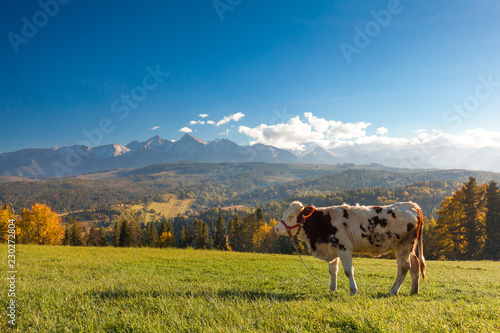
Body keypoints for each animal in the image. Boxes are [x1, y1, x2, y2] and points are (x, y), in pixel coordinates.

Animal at [274, 201, 426, 294]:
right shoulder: (332, 248)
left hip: (402, 246)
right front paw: (332, 289)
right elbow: (333, 270)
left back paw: (392, 291)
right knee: (415, 264)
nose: (276, 228)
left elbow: (348, 271)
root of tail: (411, 206)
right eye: (284, 214)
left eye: (292, 216)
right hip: (409, 247)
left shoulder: (344, 248)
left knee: (404, 267)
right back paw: (414, 290)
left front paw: (353, 290)